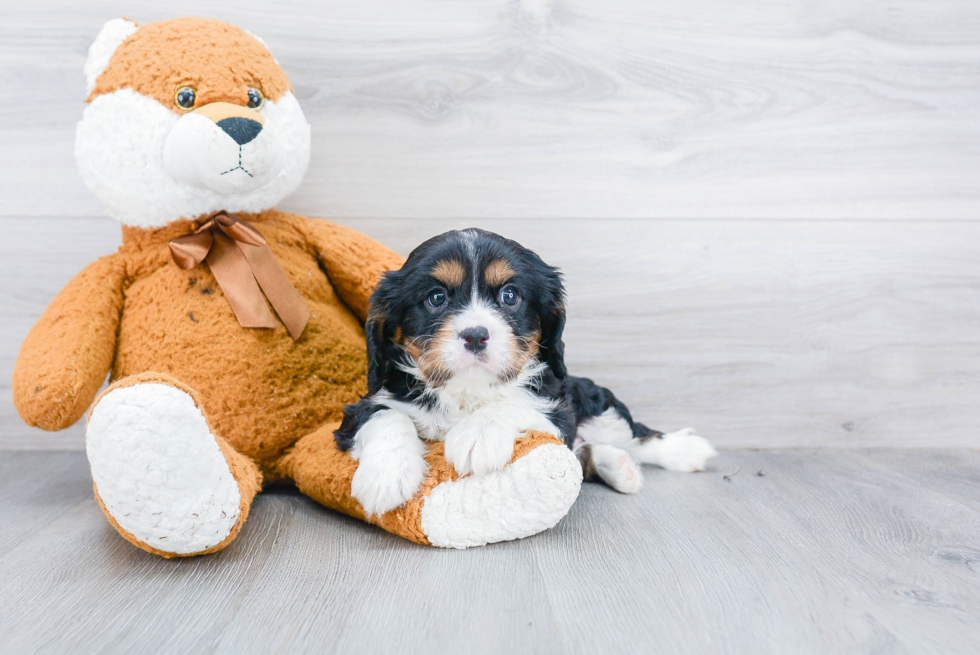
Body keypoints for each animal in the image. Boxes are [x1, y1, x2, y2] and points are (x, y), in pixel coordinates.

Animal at [334, 228, 716, 516]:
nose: (476, 335)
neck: (467, 391)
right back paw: (618, 468)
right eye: (437, 298)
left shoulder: (559, 409)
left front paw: (477, 435)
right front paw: (386, 474)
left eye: (510, 295)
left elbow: (514, 403)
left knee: (636, 436)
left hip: (597, 408)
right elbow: (387, 415)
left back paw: (686, 451)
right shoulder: (362, 406)